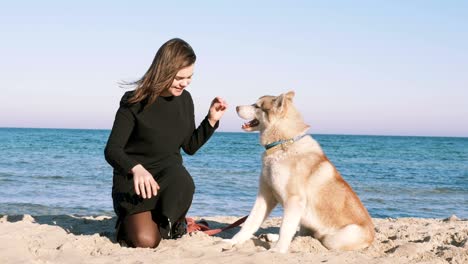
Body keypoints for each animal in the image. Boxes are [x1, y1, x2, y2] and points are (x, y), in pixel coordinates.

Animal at [225, 91, 374, 254]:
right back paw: (271, 237)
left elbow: (285, 228)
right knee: (300, 235)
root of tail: (372, 235)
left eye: (257, 106)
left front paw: (278, 250)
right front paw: (232, 242)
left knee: (316, 237)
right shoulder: (265, 195)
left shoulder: (294, 200)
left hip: (332, 238)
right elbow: (250, 222)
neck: (282, 145)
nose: (236, 107)